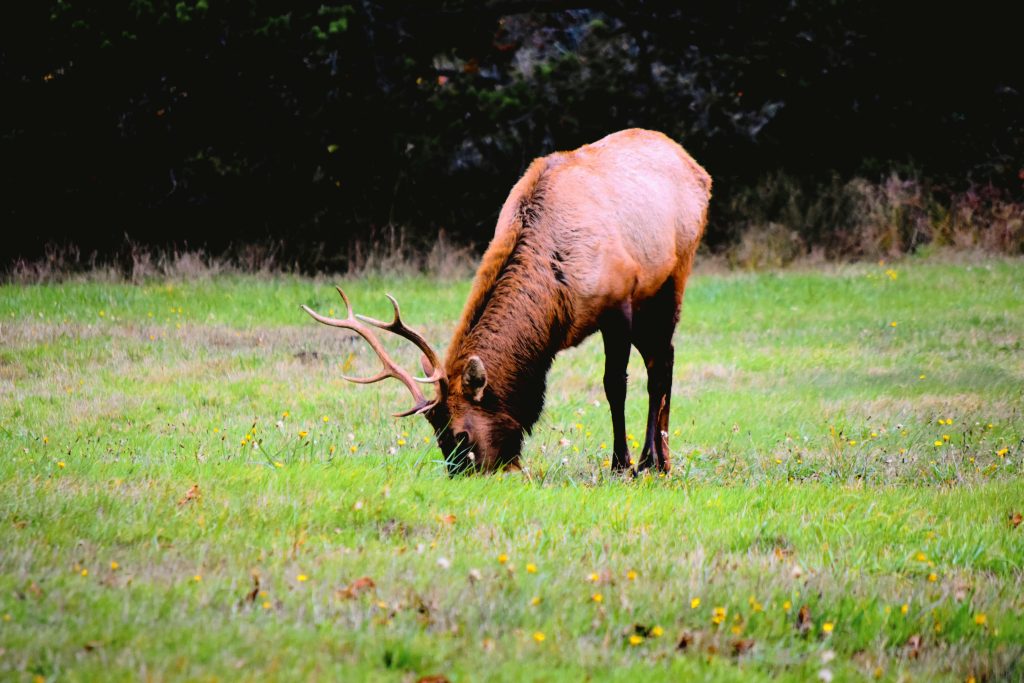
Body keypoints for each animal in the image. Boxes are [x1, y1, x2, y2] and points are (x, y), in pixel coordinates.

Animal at [299, 131, 708, 479]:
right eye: (436, 433)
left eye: (461, 434)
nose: (462, 473)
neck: (556, 304)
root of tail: (698, 169)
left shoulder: (618, 300)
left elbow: (614, 385)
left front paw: (620, 465)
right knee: (663, 358)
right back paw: (660, 459)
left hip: (671, 278)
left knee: (661, 366)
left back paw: (654, 461)